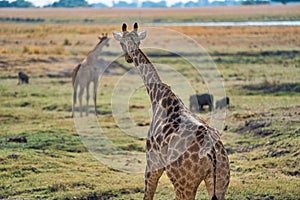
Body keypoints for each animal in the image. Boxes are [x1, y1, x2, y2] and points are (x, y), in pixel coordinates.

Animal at [112, 23, 230, 200]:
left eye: (121, 43)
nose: (128, 58)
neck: (156, 96)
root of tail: (213, 153)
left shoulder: (152, 163)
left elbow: (148, 195)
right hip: (220, 181)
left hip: (185, 184)